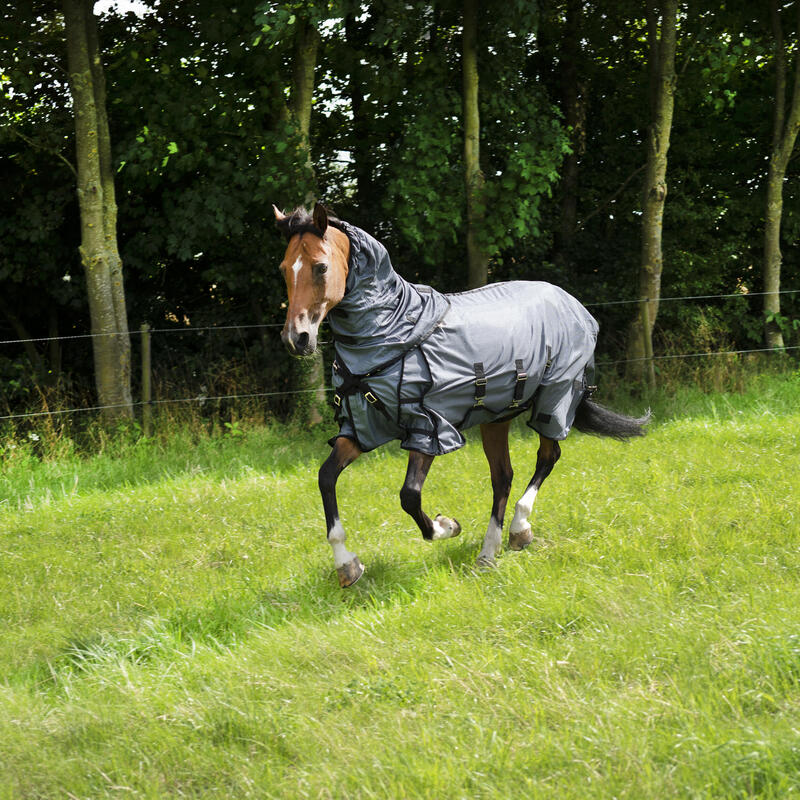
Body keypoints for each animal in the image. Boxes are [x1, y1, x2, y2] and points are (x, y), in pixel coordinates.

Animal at [276, 202, 648, 588]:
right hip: (496, 417)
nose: (296, 339)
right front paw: (347, 565)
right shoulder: (362, 430)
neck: (395, 330)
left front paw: (447, 526)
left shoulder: (428, 429)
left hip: (554, 400)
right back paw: (488, 553)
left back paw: (519, 529)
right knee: (503, 477)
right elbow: (326, 478)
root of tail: (573, 304)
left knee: (548, 457)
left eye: (321, 267)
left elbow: (409, 496)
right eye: (284, 269)